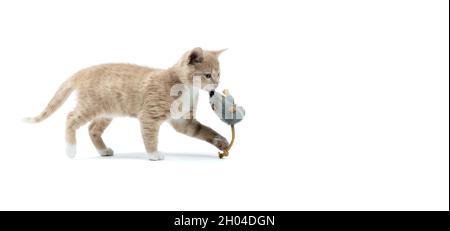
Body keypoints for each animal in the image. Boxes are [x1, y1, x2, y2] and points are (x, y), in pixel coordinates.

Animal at [24, 47, 229, 161]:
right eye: (207, 75)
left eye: (219, 74)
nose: (217, 84)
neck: (186, 88)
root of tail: (83, 71)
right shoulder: (149, 116)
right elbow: (150, 137)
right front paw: (153, 154)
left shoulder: (183, 121)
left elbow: (203, 130)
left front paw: (221, 141)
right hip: (90, 107)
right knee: (70, 118)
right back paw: (71, 150)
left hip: (107, 111)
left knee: (92, 129)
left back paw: (103, 150)